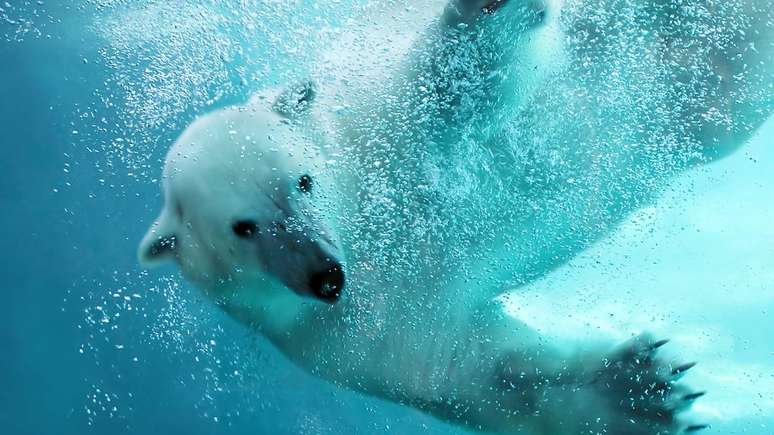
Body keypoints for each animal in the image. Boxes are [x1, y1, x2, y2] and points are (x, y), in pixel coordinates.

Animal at [138, 0, 773, 433]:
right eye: (243, 228)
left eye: (302, 181)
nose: (326, 276)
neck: (364, 224)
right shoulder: (340, 336)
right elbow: (473, 369)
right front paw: (640, 392)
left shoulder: (382, 126)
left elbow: (459, 83)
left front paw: (487, 6)